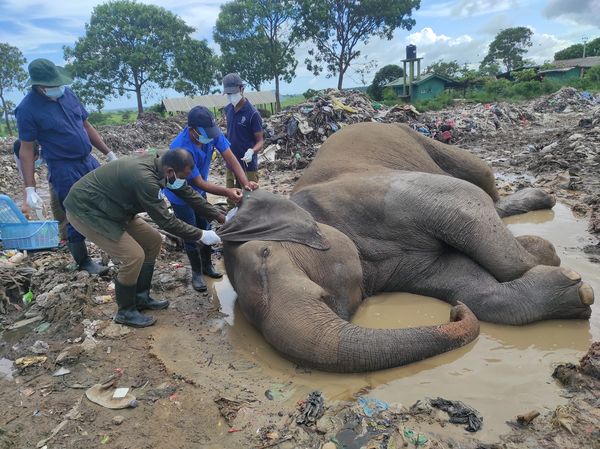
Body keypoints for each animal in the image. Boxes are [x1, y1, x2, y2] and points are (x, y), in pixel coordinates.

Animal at [218, 121, 592, 372]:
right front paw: (575, 290)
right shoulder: (391, 267)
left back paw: (542, 201)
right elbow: (472, 287)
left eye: (266, 255)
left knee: (480, 180)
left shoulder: (370, 194)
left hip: (419, 139)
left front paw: (547, 253)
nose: (453, 312)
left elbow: (462, 202)